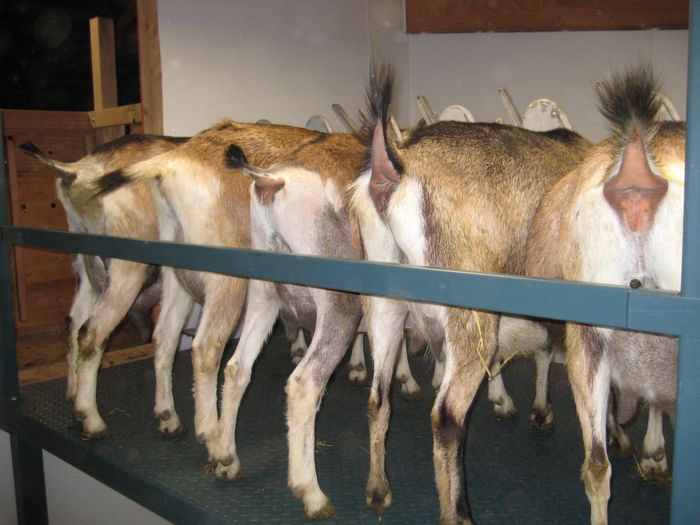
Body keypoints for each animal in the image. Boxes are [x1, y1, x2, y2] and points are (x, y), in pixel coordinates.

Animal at [20, 135, 186, 438]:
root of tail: (80, 170)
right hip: (127, 271)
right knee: (93, 333)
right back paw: (94, 420)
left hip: (87, 266)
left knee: (73, 323)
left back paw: (73, 396)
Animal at [352, 63, 591, 523]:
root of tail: (396, 170)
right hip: (466, 311)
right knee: (447, 415)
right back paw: (458, 512)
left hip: (385, 303)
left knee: (377, 396)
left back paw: (377, 488)